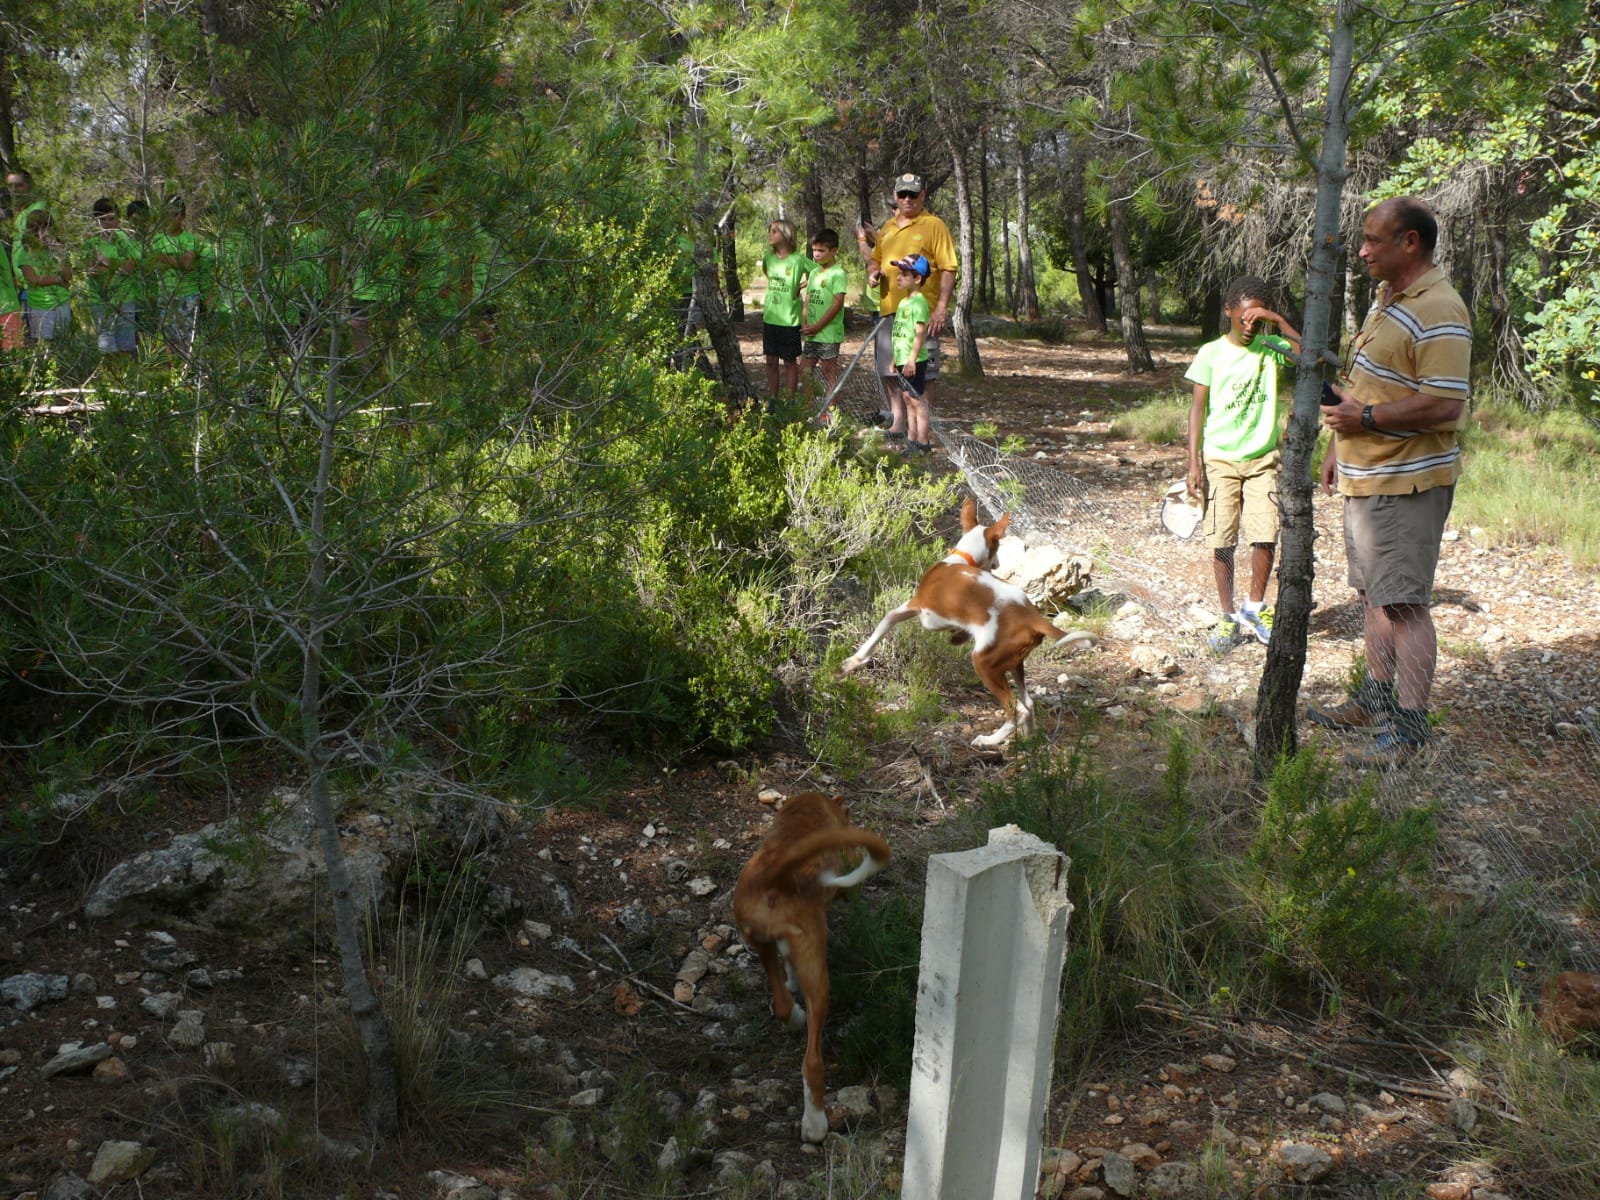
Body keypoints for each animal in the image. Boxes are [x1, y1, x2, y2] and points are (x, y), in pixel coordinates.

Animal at [732, 791, 890, 1143]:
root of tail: (775, 874)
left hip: (761, 942)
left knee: (781, 1004)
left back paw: (794, 1015)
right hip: (818, 975)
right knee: (812, 1061)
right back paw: (816, 1123)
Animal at [841, 496, 1099, 747]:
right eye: (997, 547)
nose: (997, 565)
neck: (960, 559)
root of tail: (1030, 614)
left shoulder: (916, 607)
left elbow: (885, 623)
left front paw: (854, 661)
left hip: (985, 664)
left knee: (1018, 710)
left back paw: (989, 740)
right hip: (1014, 664)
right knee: (1029, 704)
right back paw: (1029, 741)